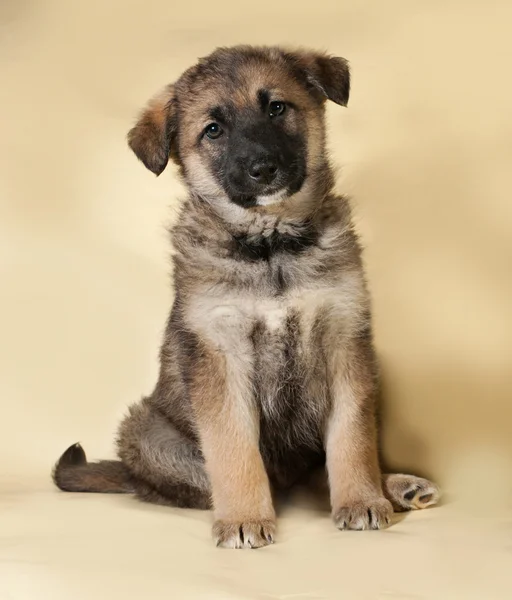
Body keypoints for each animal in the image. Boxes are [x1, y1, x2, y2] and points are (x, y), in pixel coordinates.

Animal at [53, 44, 440, 548]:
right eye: (213, 130)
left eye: (276, 107)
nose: (263, 169)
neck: (271, 247)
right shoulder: (221, 353)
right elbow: (234, 449)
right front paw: (242, 519)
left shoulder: (344, 339)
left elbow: (351, 438)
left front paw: (360, 499)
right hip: (145, 431)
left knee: (316, 474)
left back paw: (394, 486)